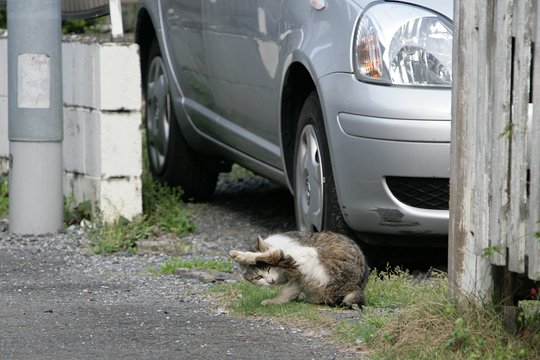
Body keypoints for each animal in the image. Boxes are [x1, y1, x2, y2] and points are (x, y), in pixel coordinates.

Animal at [230, 232, 370, 308]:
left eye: (269, 268)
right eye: (259, 277)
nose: (270, 281)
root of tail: (354, 286)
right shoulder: (299, 279)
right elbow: (288, 291)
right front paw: (276, 301)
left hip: (311, 254)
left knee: (276, 255)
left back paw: (241, 255)